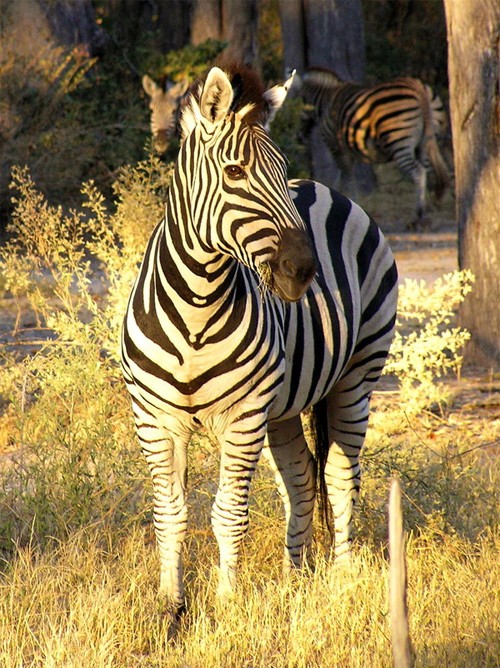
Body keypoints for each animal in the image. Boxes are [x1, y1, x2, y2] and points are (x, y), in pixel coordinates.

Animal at [121, 62, 398, 616]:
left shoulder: (244, 415)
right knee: (301, 480)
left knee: (339, 476)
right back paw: (295, 577)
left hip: (357, 376)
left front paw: (226, 606)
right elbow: (170, 514)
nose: (304, 271)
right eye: (234, 173)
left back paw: (341, 579)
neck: (196, 308)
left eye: (280, 168)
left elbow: (229, 513)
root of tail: (321, 185)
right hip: (285, 407)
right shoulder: (154, 419)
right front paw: (171, 604)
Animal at [300, 67, 450, 230]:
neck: (327, 98)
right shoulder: (348, 151)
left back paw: (420, 215)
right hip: (426, 141)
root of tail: (419, 88)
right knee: (429, 170)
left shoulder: (335, 145)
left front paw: (346, 200)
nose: (300, 136)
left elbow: (347, 176)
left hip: (399, 140)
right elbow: (346, 176)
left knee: (418, 172)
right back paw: (430, 208)